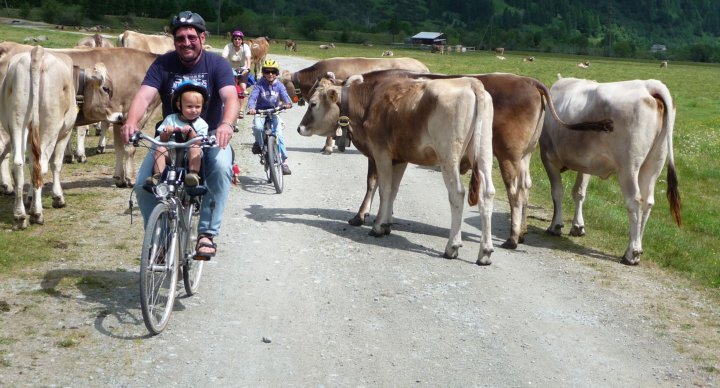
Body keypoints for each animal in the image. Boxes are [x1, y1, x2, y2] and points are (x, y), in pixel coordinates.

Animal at [296, 74, 496, 266]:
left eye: (313, 103)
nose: (299, 128)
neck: (369, 102)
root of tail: (471, 82)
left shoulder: (381, 152)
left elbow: (384, 189)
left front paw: (378, 227)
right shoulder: (400, 158)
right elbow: (393, 190)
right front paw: (386, 224)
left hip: (448, 155)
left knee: (457, 193)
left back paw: (452, 246)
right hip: (484, 151)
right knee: (487, 194)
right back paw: (485, 252)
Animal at [540, 76, 680, 264]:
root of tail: (648, 85)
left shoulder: (548, 157)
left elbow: (557, 192)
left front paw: (555, 226)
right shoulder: (586, 163)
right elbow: (579, 192)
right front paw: (578, 226)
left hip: (629, 167)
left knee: (635, 201)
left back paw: (631, 253)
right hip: (654, 164)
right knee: (648, 203)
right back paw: (636, 246)